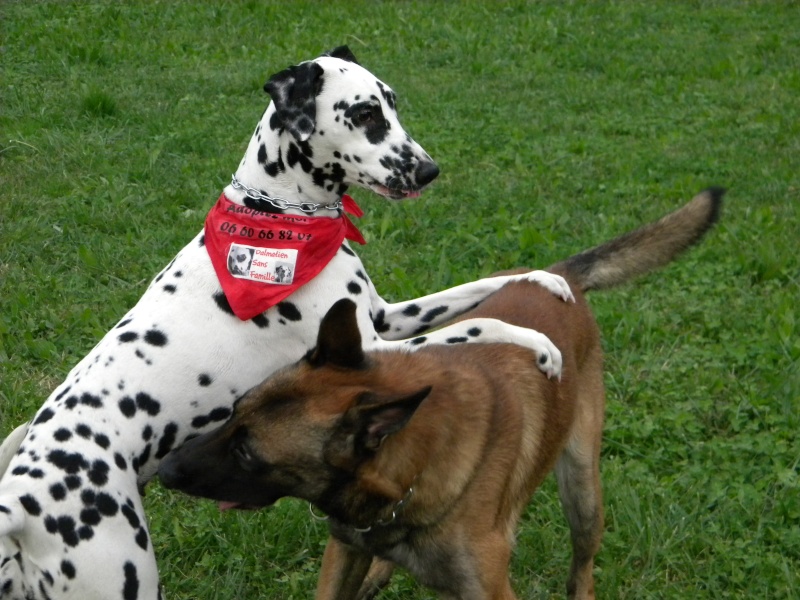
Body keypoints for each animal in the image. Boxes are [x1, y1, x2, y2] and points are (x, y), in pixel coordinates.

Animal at [0, 48, 576, 600]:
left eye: (393, 104)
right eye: (365, 113)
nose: (428, 170)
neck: (280, 214)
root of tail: (21, 503)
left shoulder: (386, 318)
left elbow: (472, 291)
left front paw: (544, 279)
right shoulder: (373, 347)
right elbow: (482, 325)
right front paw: (538, 341)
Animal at [159, 186, 720, 596]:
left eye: (249, 454)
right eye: (234, 410)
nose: (163, 470)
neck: (410, 472)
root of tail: (563, 273)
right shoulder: (344, 551)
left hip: (582, 488)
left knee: (582, 564)